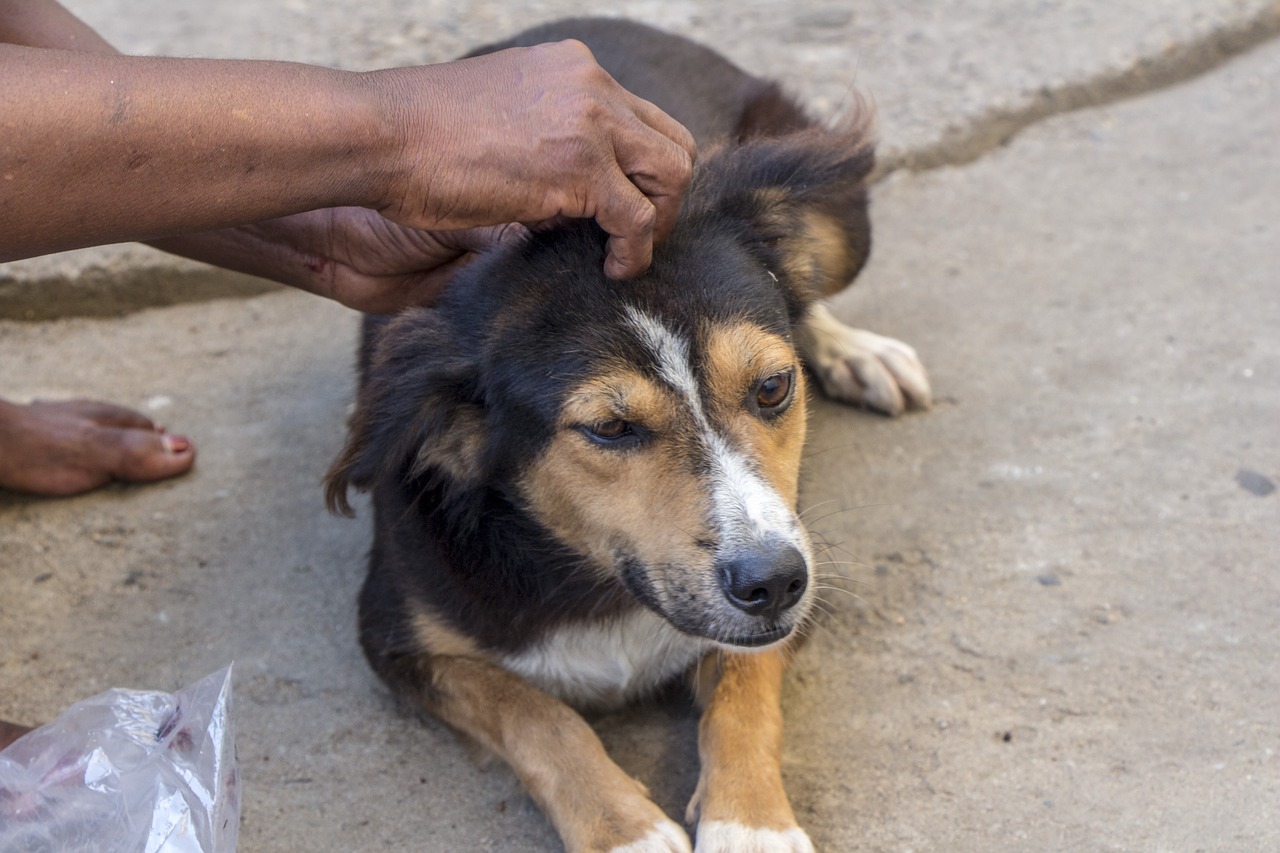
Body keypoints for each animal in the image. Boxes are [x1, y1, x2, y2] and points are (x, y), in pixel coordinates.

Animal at [327, 14, 931, 850]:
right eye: (611, 428)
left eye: (772, 388)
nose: (773, 580)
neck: (598, 574)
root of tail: (579, 22)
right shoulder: (397, 638)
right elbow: (536, 714)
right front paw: (626, 829)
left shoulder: (792, 599)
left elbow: (743, 691)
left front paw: (752, 821)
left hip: (835, 213)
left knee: (806, 290)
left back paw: (859, 353)